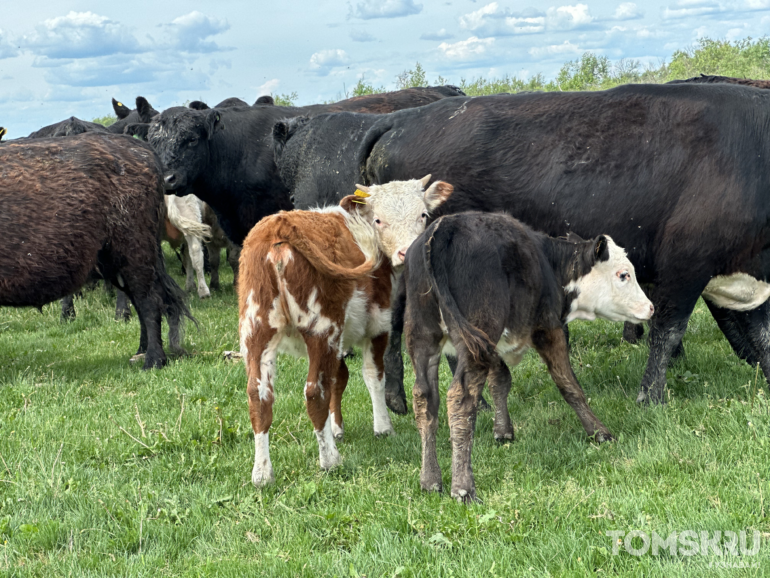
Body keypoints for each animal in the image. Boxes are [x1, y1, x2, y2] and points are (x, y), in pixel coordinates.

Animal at [0, 134, 192, 368]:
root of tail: (140, 149)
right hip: (116, 264)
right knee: (140, 302)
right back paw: (140, 352)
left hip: (136, 254)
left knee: (150, 301)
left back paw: (153, 360)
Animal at [238, 173, 450, 484]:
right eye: (379, 220)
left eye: (422, 215)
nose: (406, 252)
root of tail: (280, 225)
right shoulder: (378, 325)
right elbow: (373, 375)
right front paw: (382, 427)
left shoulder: (338, 342)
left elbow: (339, 377)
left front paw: (336, 428)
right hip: (320, 328)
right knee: (314, 392)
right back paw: (329, 460)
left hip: (257, 329)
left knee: (259, 395)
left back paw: (262, 472)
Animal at [396, 210, 656, 500]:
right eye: (623, 275)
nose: (650, 307)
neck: (549, 266)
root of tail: (444, 227)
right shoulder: (548, 328)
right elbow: (568, 384)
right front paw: (599, 432)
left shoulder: (493, 345)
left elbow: (500, 380)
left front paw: (503, 431)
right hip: (477, 331)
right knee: (461, 398)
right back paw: (463, 487)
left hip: (423, 336)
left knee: (424, 397)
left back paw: (430, 479)